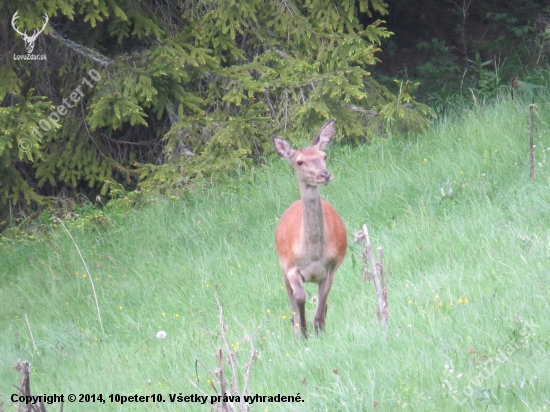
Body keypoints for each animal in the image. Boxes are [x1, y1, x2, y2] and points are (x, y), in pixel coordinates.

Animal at [274, 118, 348, 338]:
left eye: (324, 156)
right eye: (299, 161)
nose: (325, 175)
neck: (313, 253)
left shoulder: (330, 268)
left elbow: (321, 305)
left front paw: (318, 331)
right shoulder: (290, 267)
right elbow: (299, 298)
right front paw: (304, 332)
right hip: (282, 269)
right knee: (291, 303)